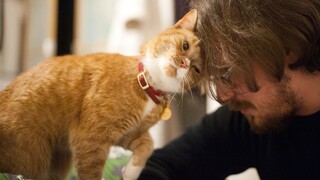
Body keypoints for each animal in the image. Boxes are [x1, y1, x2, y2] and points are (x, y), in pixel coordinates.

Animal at [0, 10, 201, 180]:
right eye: (185, 45)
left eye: (196, 69)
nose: (184, 63)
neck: (146, 85)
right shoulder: (91, 139)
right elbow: (92, 173)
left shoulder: (127, 134)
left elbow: (148, 144)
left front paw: (131, 172)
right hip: (32, 159)